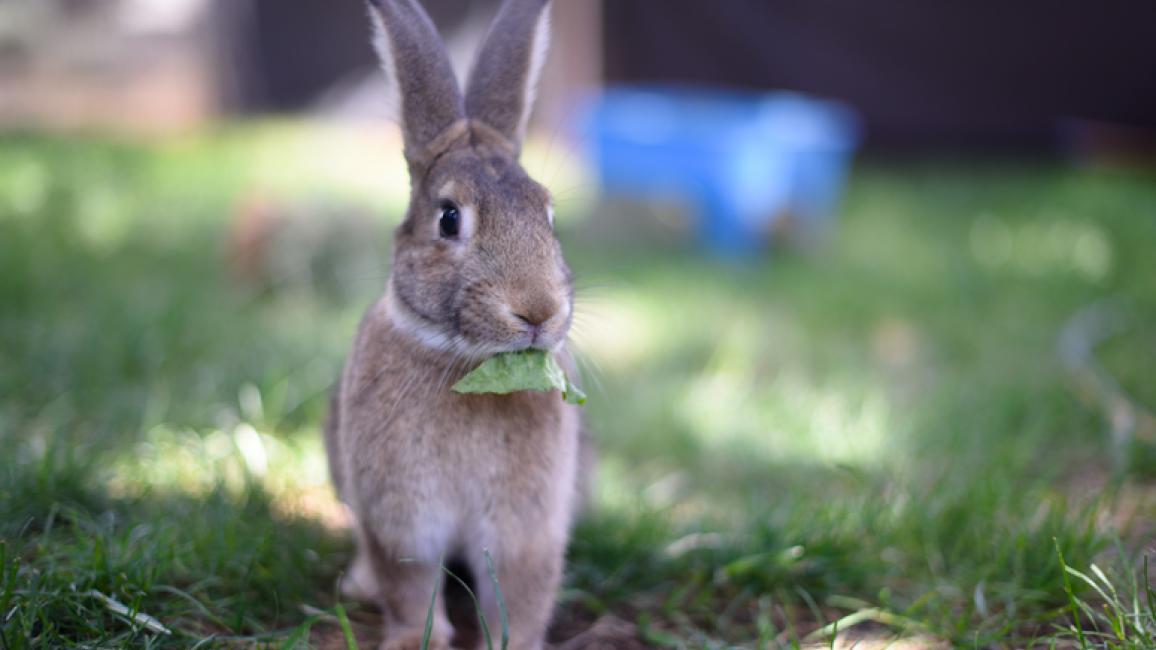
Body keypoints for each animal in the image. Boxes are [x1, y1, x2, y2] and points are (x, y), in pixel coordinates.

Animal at [325, 1, 587, 648]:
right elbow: (410, 584)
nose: (537, 310)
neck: (463, 361)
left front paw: (515, 643)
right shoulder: (402, 521)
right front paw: (413, 640)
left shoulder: (527, 529)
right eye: (448, 218)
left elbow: (518, 593)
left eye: (547, 215)